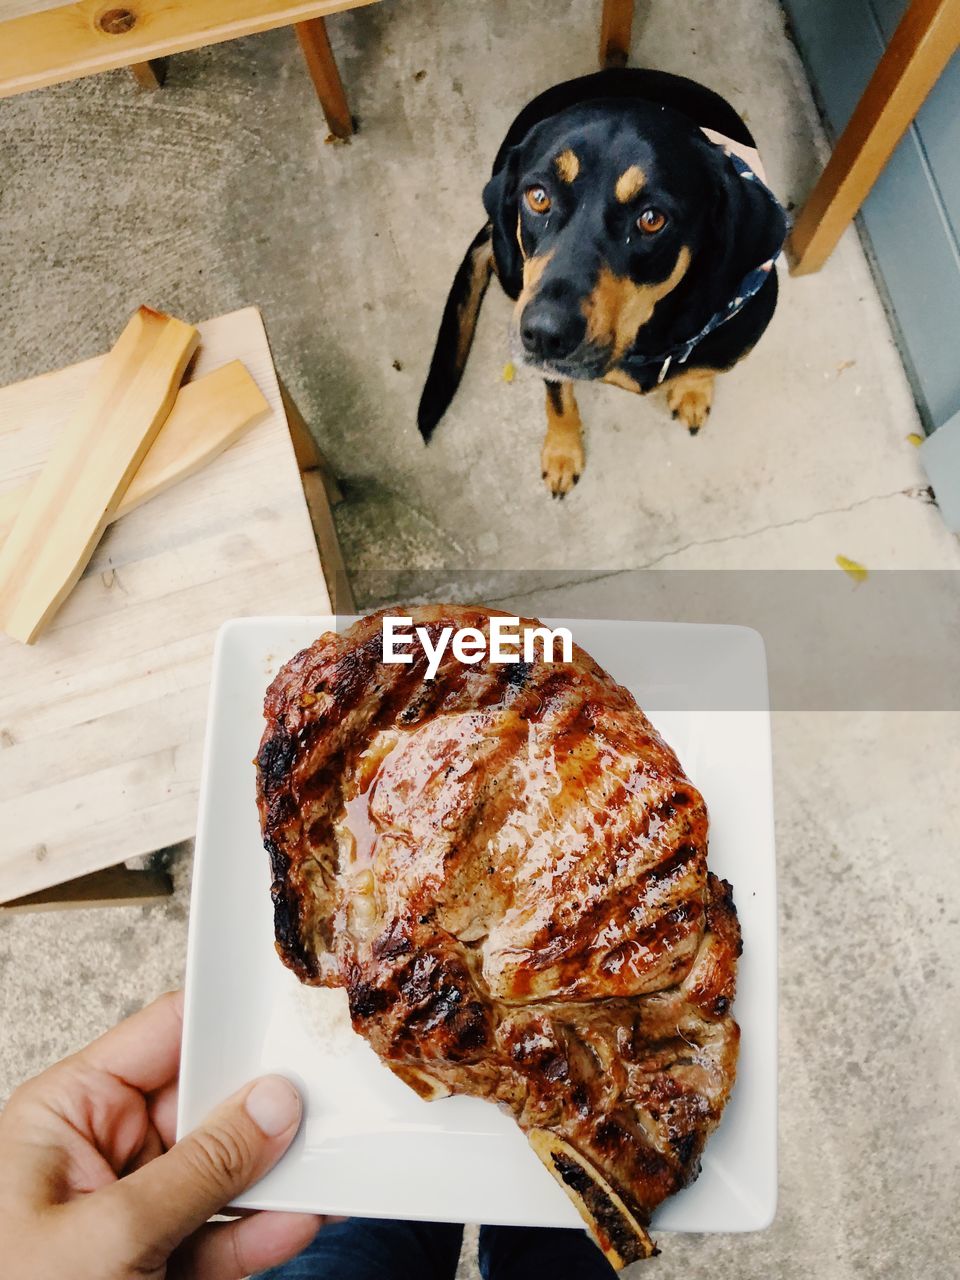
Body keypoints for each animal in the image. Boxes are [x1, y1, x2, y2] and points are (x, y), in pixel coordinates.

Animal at [419, 64, 788, 496]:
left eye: (651, 219)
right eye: (538, 196)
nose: (543, 334)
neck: (648, 342)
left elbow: (703, 368)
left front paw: (692, 391)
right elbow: (559, 401)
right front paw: (562, 454)